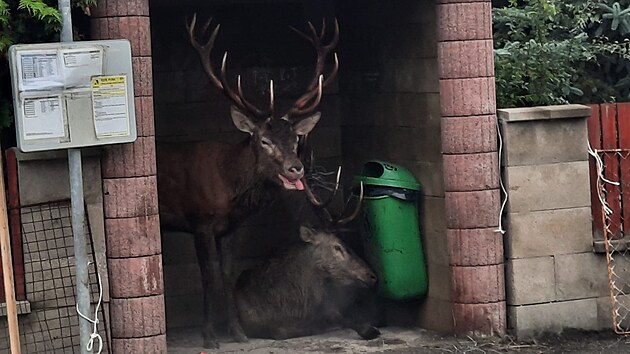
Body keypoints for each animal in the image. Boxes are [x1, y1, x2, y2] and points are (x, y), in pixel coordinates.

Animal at [158, 14, 344, 348]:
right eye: (264, 140)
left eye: (295, 139)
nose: (296, 168)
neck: (229, 189)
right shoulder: (200, 221)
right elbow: (209, 277)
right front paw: (209, 336)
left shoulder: (234, 227)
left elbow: (228, 274)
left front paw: (238, 332)